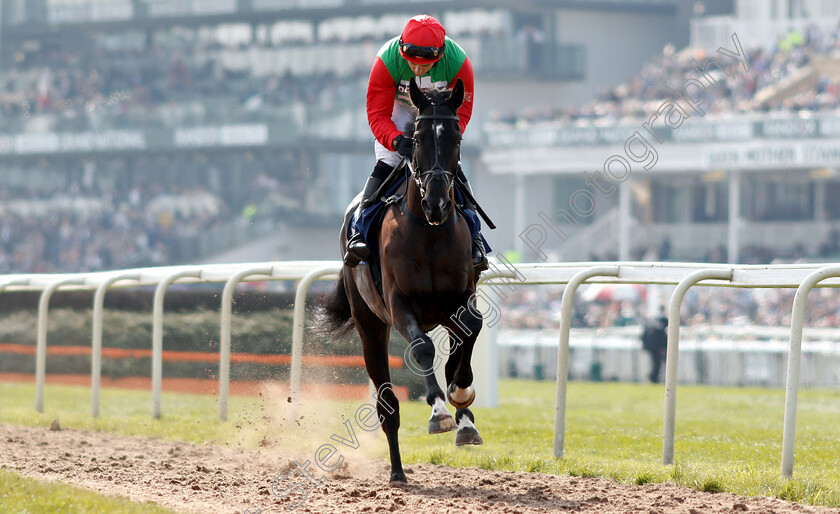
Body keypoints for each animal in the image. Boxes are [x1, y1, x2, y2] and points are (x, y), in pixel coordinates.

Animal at [316, 78, 486, 482]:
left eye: (456, 138)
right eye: (419, 138)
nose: (437, 202)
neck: (429, 233)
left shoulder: (461, 297)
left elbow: (470, 330)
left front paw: (461, 399)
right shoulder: (398, 304)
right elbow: (422, 348)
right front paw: (439, 412)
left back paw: (464, 418)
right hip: (369, 325)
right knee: (387, 403)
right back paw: (397, 472)